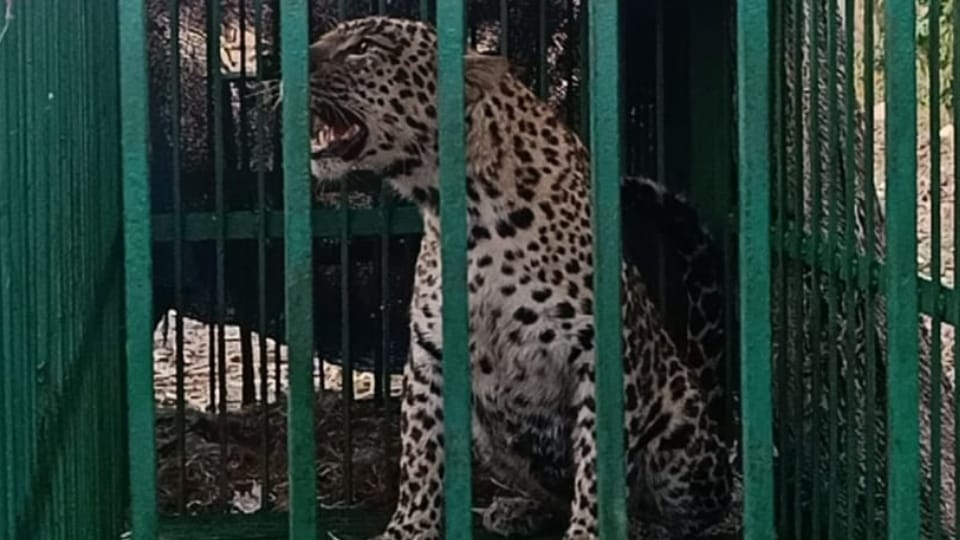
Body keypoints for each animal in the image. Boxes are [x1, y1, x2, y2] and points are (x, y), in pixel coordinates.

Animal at [291, 15, 737, 539]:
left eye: (364, 47)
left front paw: (590, 531)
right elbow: (419, 457)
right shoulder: (430, 354)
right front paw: (408, 528)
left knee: (696, 511)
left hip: (682, 446)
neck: (467, 214)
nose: (290, 62)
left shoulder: (598, 356)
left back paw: (650, 526)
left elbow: (598, 467)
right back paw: (517, 510)